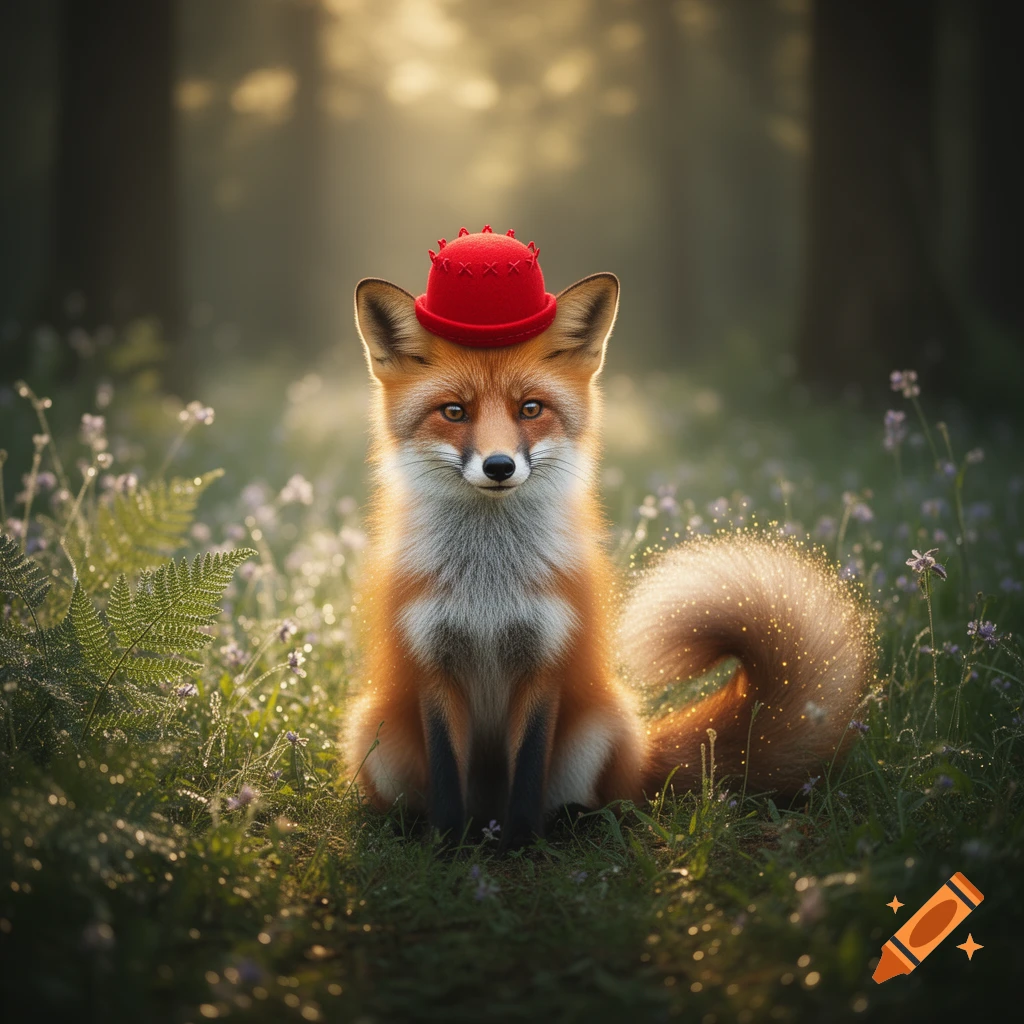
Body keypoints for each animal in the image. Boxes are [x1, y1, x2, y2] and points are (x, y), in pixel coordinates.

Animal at [344, 267, 876, 852]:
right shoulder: (433, 667)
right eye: (454, 412)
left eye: (531, 408)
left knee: (609, 802)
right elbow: (445, 777)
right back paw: (425, 828)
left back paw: (568, 823)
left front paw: (523, 845)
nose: (500, 466)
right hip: (373, 726)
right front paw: (447, 848)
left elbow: (528, 772)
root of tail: (643, 757)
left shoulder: (546, 663)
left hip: (601, 725)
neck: (489, 589)